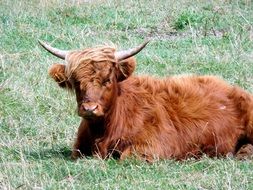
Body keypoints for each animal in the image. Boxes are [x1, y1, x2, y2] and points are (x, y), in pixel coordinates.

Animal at [39, 40, 253, 161]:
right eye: (76, 82)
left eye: (107, 79)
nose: (89, 108)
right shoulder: (79, 148)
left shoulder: (156, 146)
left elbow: (126, 157)